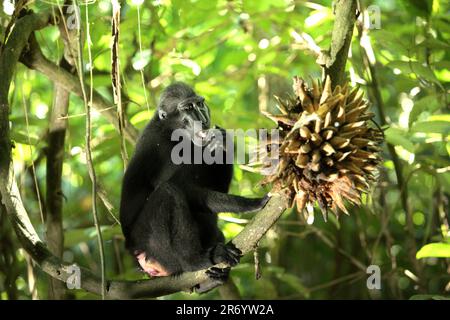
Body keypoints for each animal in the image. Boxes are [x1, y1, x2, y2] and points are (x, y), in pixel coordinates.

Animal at [118, 83, 268, 292]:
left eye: (200, 104)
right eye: (187, 108)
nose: (202, 118)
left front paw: (222, 141)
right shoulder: (161, 146)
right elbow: (187, 190)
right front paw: (250, 204)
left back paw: (212, 278)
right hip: (154, 247)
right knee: (169, 192)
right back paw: (196, 261)